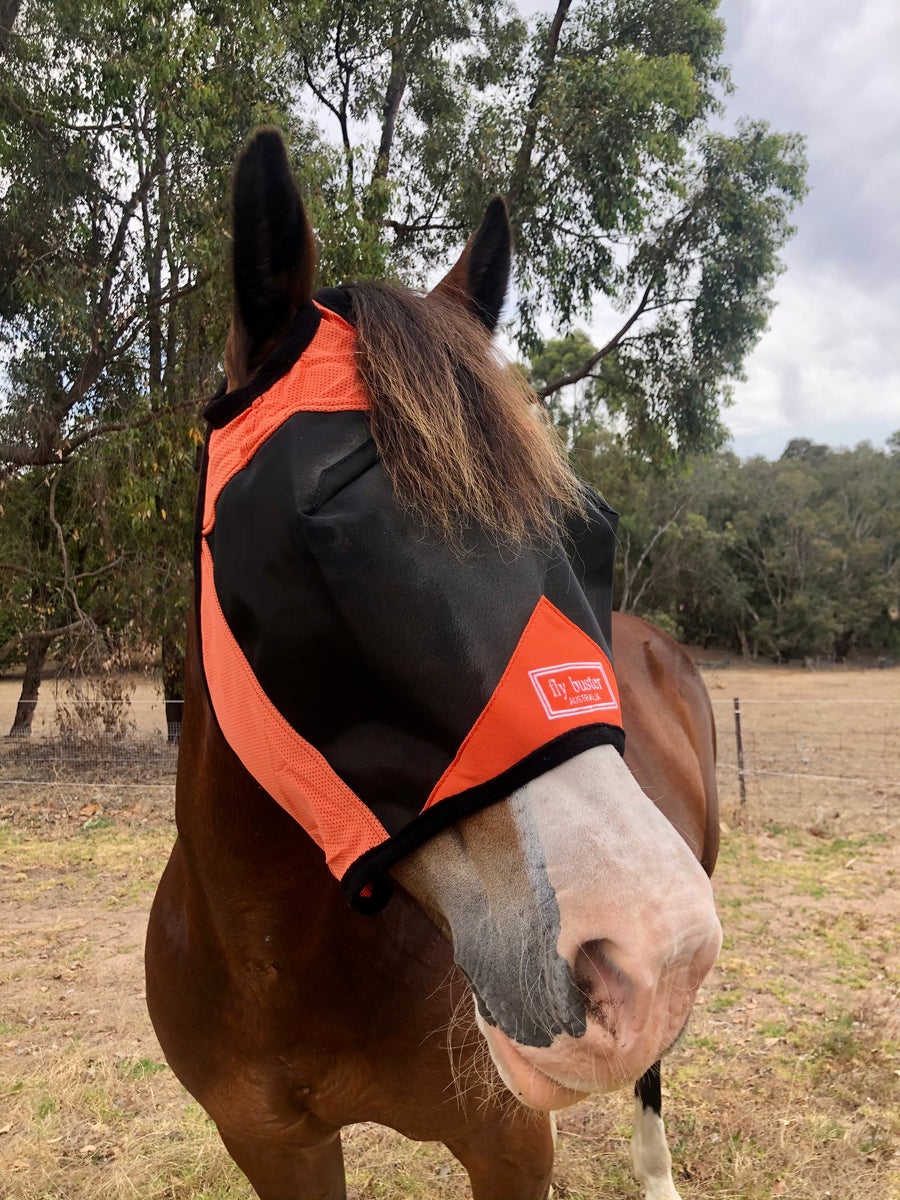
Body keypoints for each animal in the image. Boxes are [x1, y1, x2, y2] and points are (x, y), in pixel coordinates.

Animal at [148, 131, 724, 1200]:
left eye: (594, 535)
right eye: (327, 535)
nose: (651, 951)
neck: (282, 962)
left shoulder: (508, 1147)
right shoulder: (273, 1148)